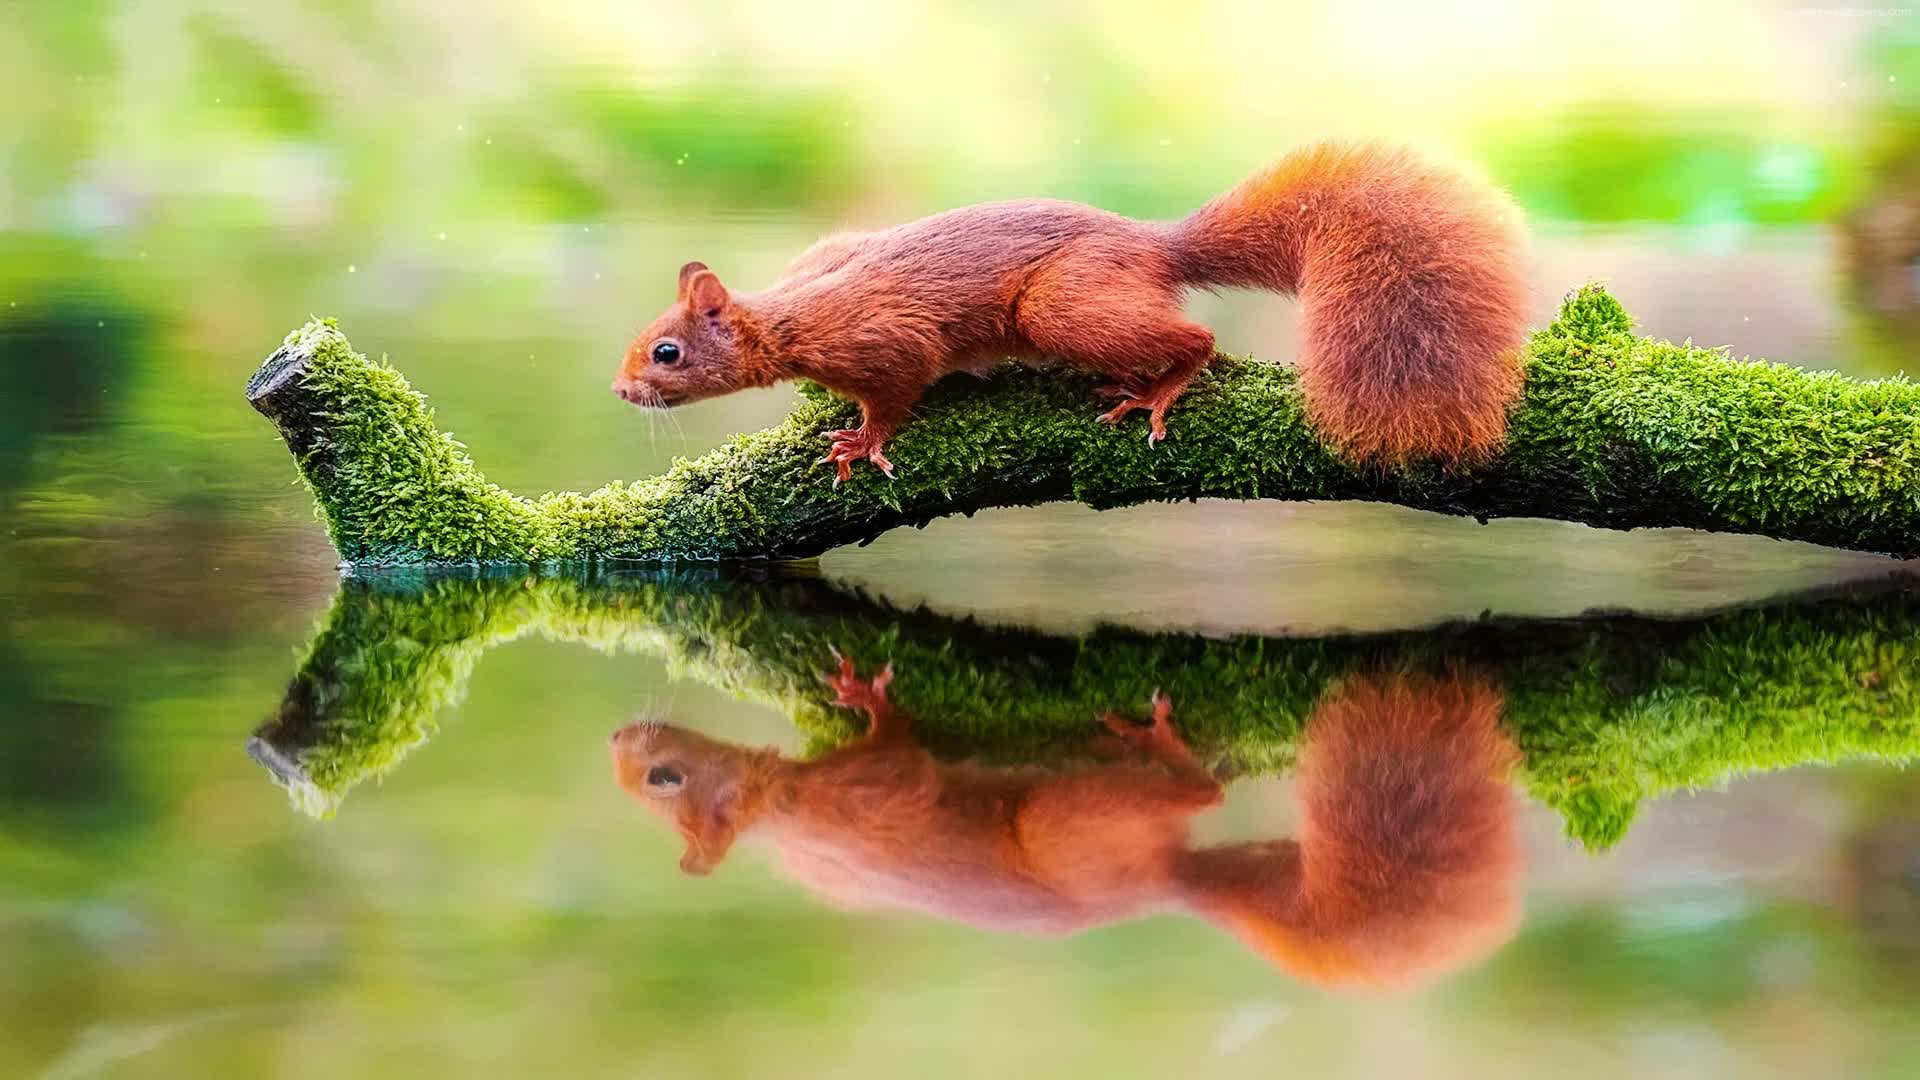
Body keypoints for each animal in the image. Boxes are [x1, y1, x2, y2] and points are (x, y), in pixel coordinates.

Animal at [608, 657, 1523, 990]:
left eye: (665, 779)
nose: (618, 739)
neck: (784, 808)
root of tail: (1158, 886)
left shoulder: (861, 798)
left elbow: (899, 762)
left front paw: (867, 697)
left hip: (1069, 828)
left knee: (1196, 801)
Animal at [611, 140, 1529, 482]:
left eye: (666, 353)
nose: (621, 393)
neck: (791, 315)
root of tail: (1154, 245)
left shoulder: (882, 341)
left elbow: (898, 389)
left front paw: (862, 440)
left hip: (1063, 307)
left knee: (1196, 334)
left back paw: (1160, 389)